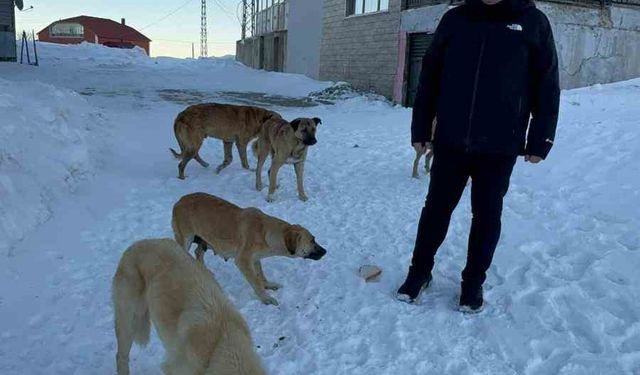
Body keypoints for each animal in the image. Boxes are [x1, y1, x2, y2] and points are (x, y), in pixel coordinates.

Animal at [172, 194, 328, 306]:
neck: (265, 232)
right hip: (185, 240)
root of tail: (179, 201)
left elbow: (260, 275)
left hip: (204, 240)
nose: (325, 251)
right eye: (312, 240)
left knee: (198, 253)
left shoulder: (255, 258)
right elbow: (255, 281)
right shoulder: (243, 260)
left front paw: (268, 285)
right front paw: (265, 298)